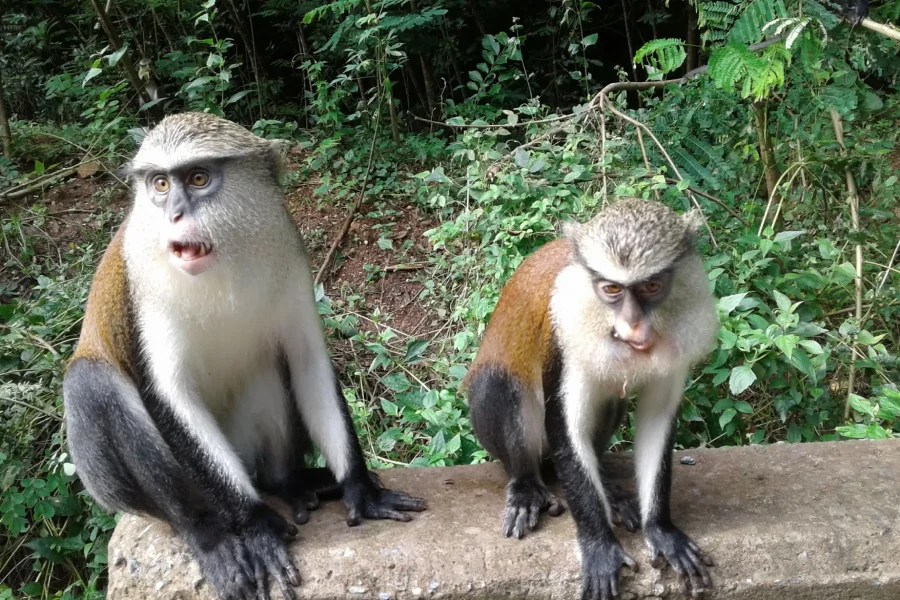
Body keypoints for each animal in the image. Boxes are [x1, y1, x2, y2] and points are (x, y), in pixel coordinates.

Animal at [63, 113, 426, 600]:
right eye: (160, 184)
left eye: (198, 179)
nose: (175, 213)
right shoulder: (146, 296)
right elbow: (170, 394)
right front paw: (255, 527)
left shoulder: (290, 260)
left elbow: (307, 360)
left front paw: (361, 489)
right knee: (90, 383)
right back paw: (209, 533)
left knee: (269, 370)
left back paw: (287, 482)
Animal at [464, 199, 719, 599]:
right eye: (612, 289)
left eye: (651, 286)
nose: (633, 325)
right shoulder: (563, 335)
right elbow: (566, 428)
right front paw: (599, 546)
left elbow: (656, 420)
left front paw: (662, 530)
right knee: (500, 386)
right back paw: (526, 485)